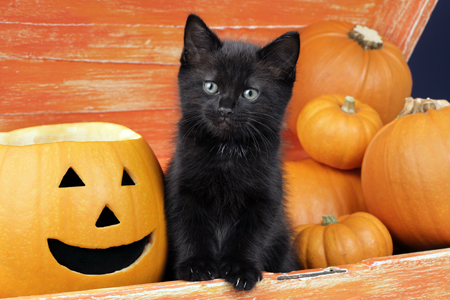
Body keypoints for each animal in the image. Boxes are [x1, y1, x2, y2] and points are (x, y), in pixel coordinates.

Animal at [163, 14, 300, 290]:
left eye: (250, 93)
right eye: (211, 86)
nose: (225, 109)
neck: (227, 152)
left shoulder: (266, 198)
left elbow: (251, 234)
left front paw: (240, 269)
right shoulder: (182, 189)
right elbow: (189, 226)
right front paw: (196, 265)